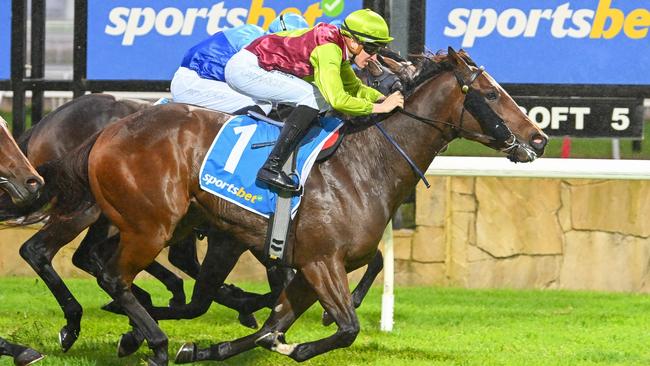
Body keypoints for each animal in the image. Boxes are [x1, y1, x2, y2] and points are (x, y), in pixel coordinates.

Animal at [52, 47, 540, 364]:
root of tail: (110, 130)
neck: (364, 164)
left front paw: (206, 347)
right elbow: (345, 327)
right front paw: (299, 344)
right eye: (491, 95)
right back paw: (149, 340)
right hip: (151, 224)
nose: (537, 139)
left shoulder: (308, 266)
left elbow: (274, 326)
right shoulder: (321, 261)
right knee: (114, 275)